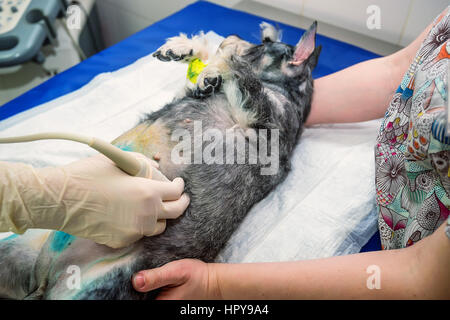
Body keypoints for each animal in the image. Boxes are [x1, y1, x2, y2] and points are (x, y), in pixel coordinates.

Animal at [0, 22, 320, 300]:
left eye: (262, 45)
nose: (233, 34)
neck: (283, 87)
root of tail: (45, 278)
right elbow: (199, 79)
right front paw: (188, 51)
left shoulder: (267, 119)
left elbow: (242, 75)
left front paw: (220, 55)